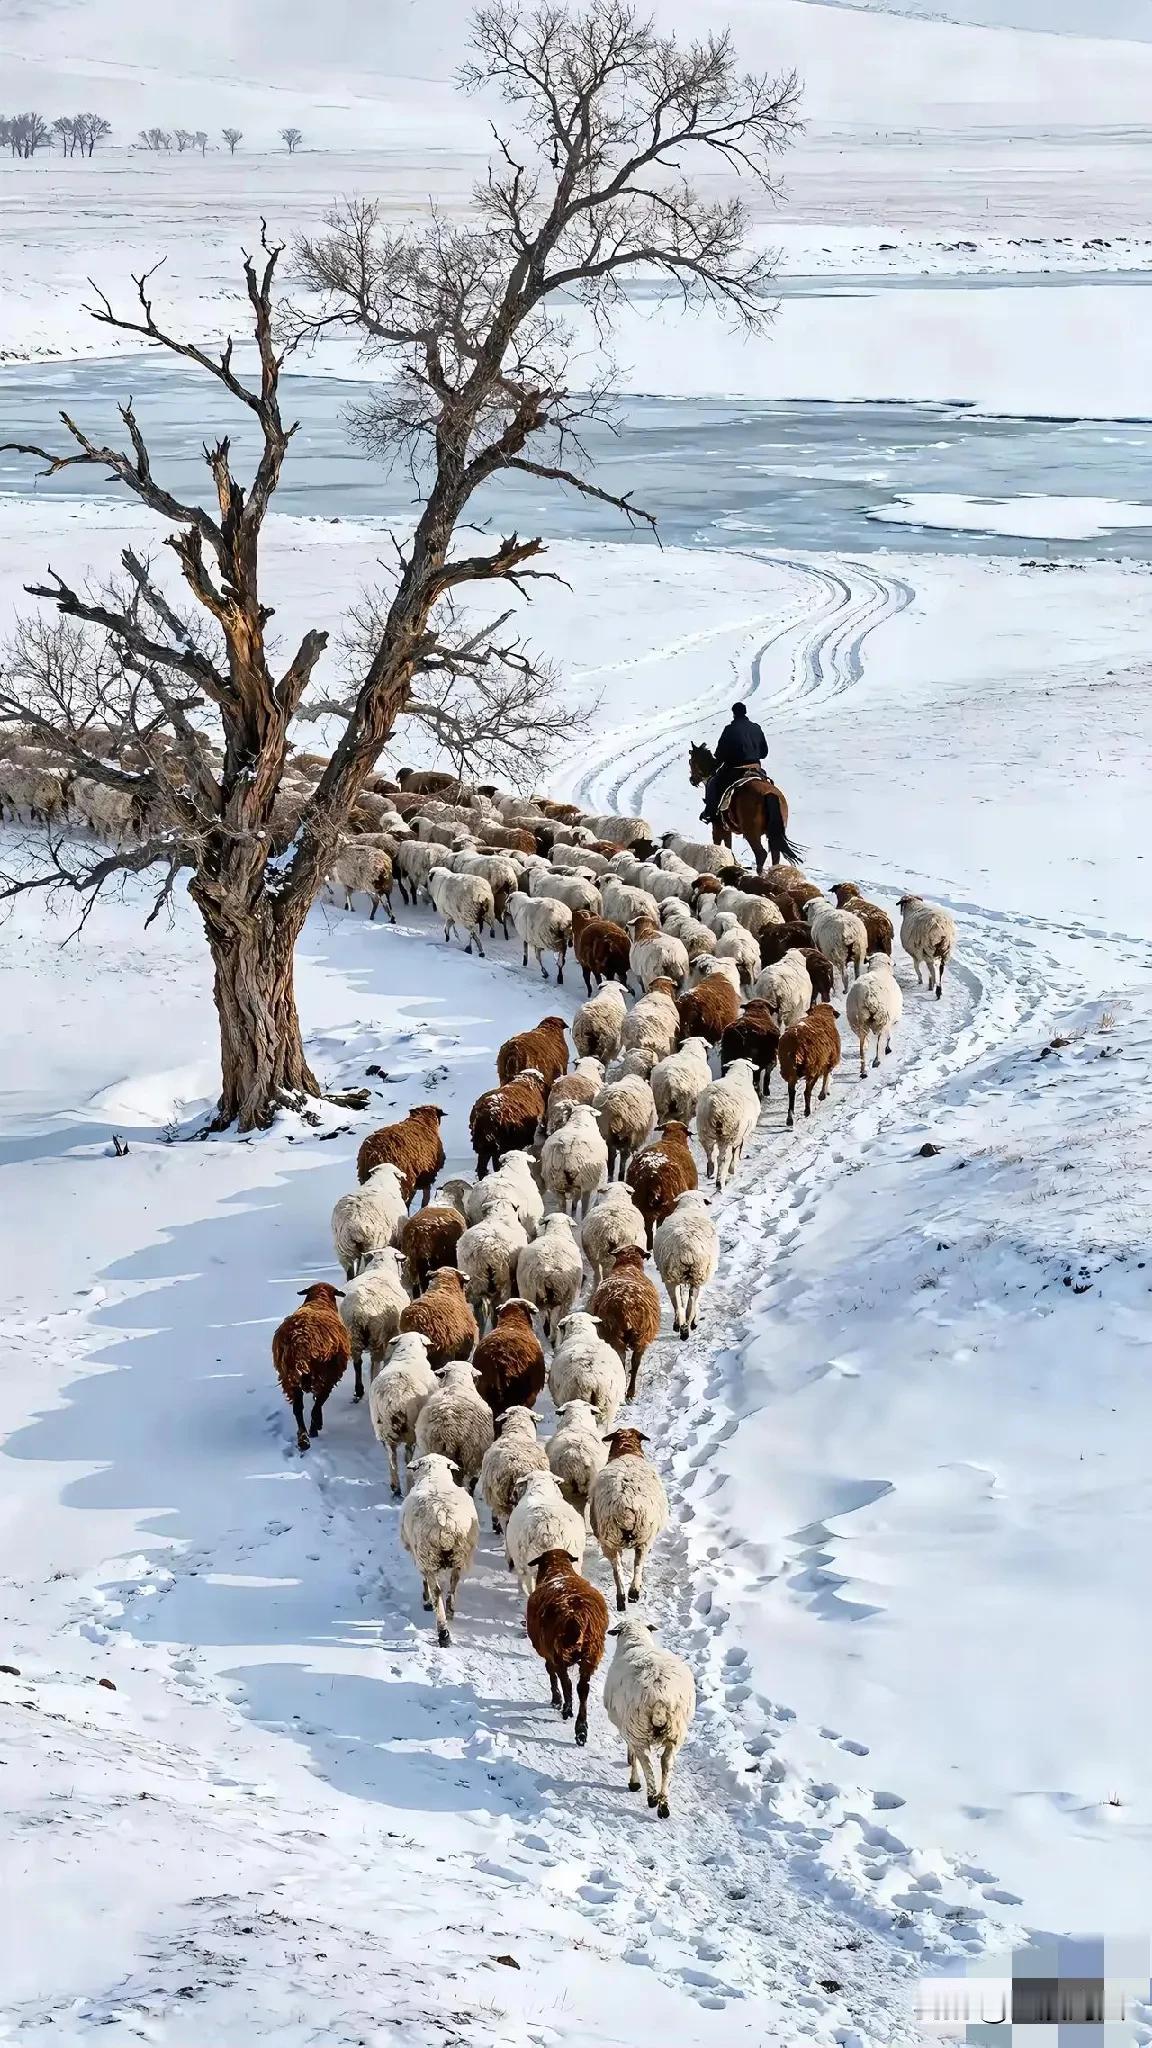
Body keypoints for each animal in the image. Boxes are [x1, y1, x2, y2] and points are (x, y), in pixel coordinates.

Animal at [687, 743, 803, 874]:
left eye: (691, 761)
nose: (692, 780)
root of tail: (770, 794)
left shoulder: (717, 827)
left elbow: (719, 844)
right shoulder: (726, 828)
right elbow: (728, 845)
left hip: (751, 833)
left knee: (761, 854)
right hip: (772, 833)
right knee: (775, 853)